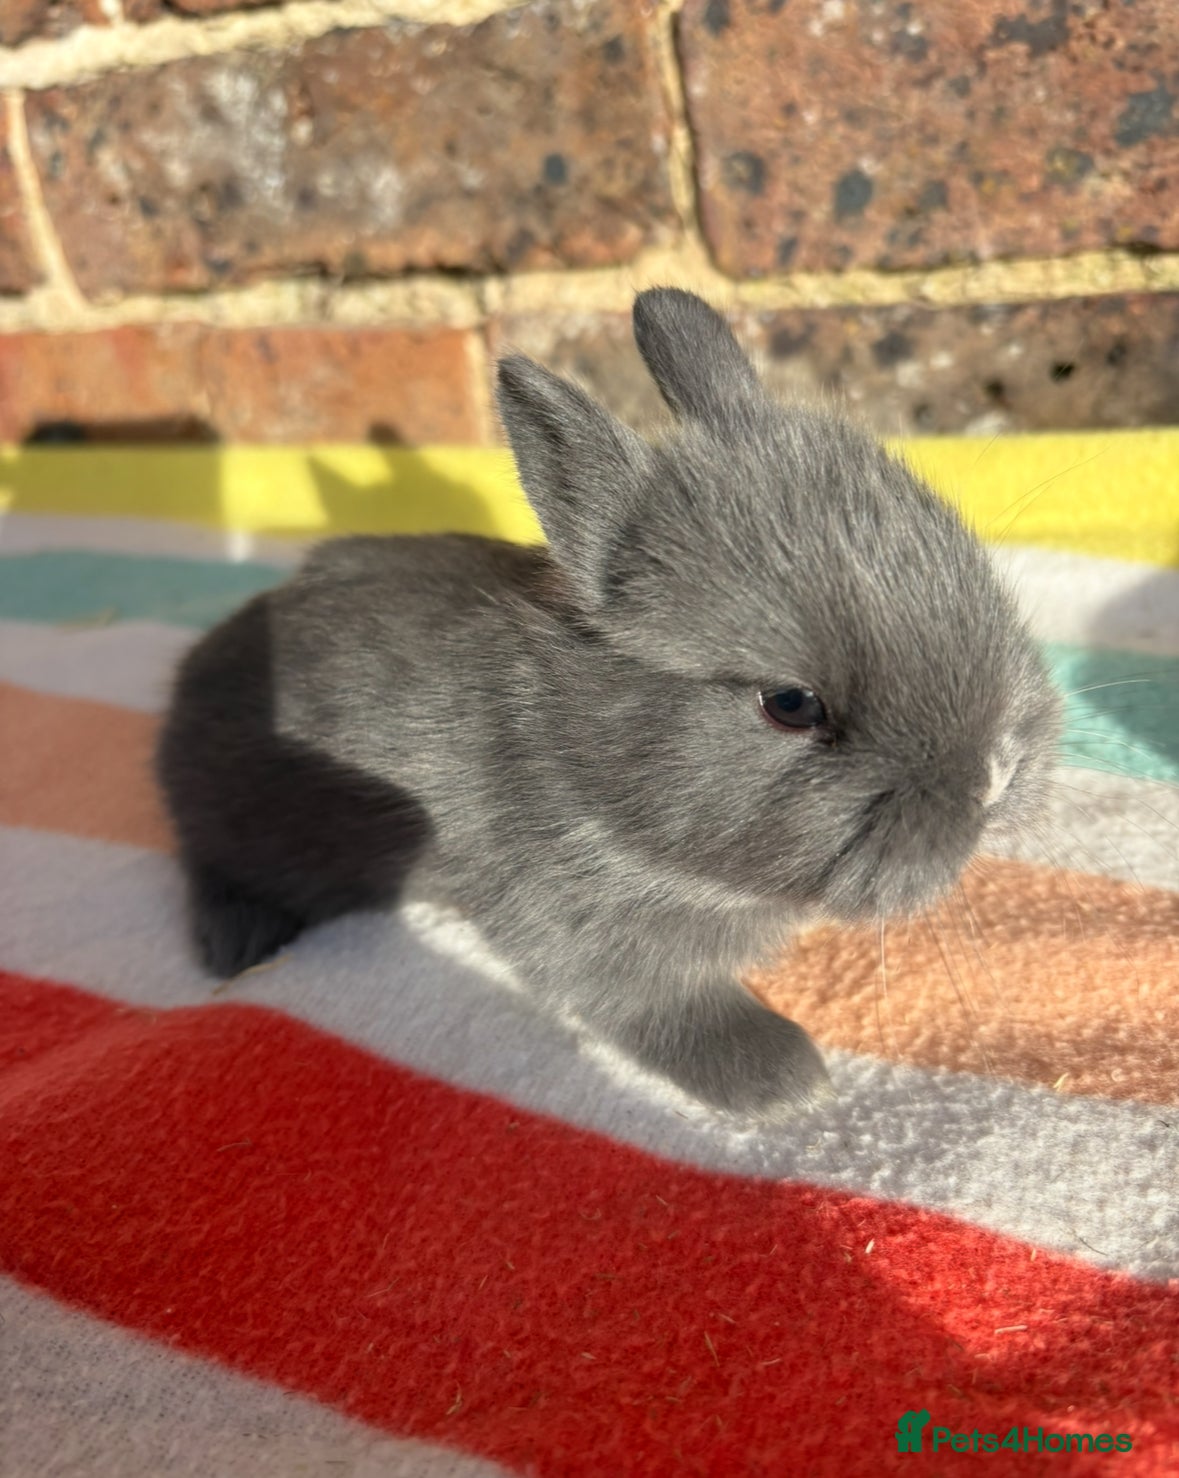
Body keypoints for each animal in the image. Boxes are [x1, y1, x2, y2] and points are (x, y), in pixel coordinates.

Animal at [156, 288, 1061, 1119]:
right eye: (791, 704)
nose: (994, 773)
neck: (582, 757)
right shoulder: (588, 937)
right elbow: (657, 1006)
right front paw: (788, 1081)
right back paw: (236, 944)